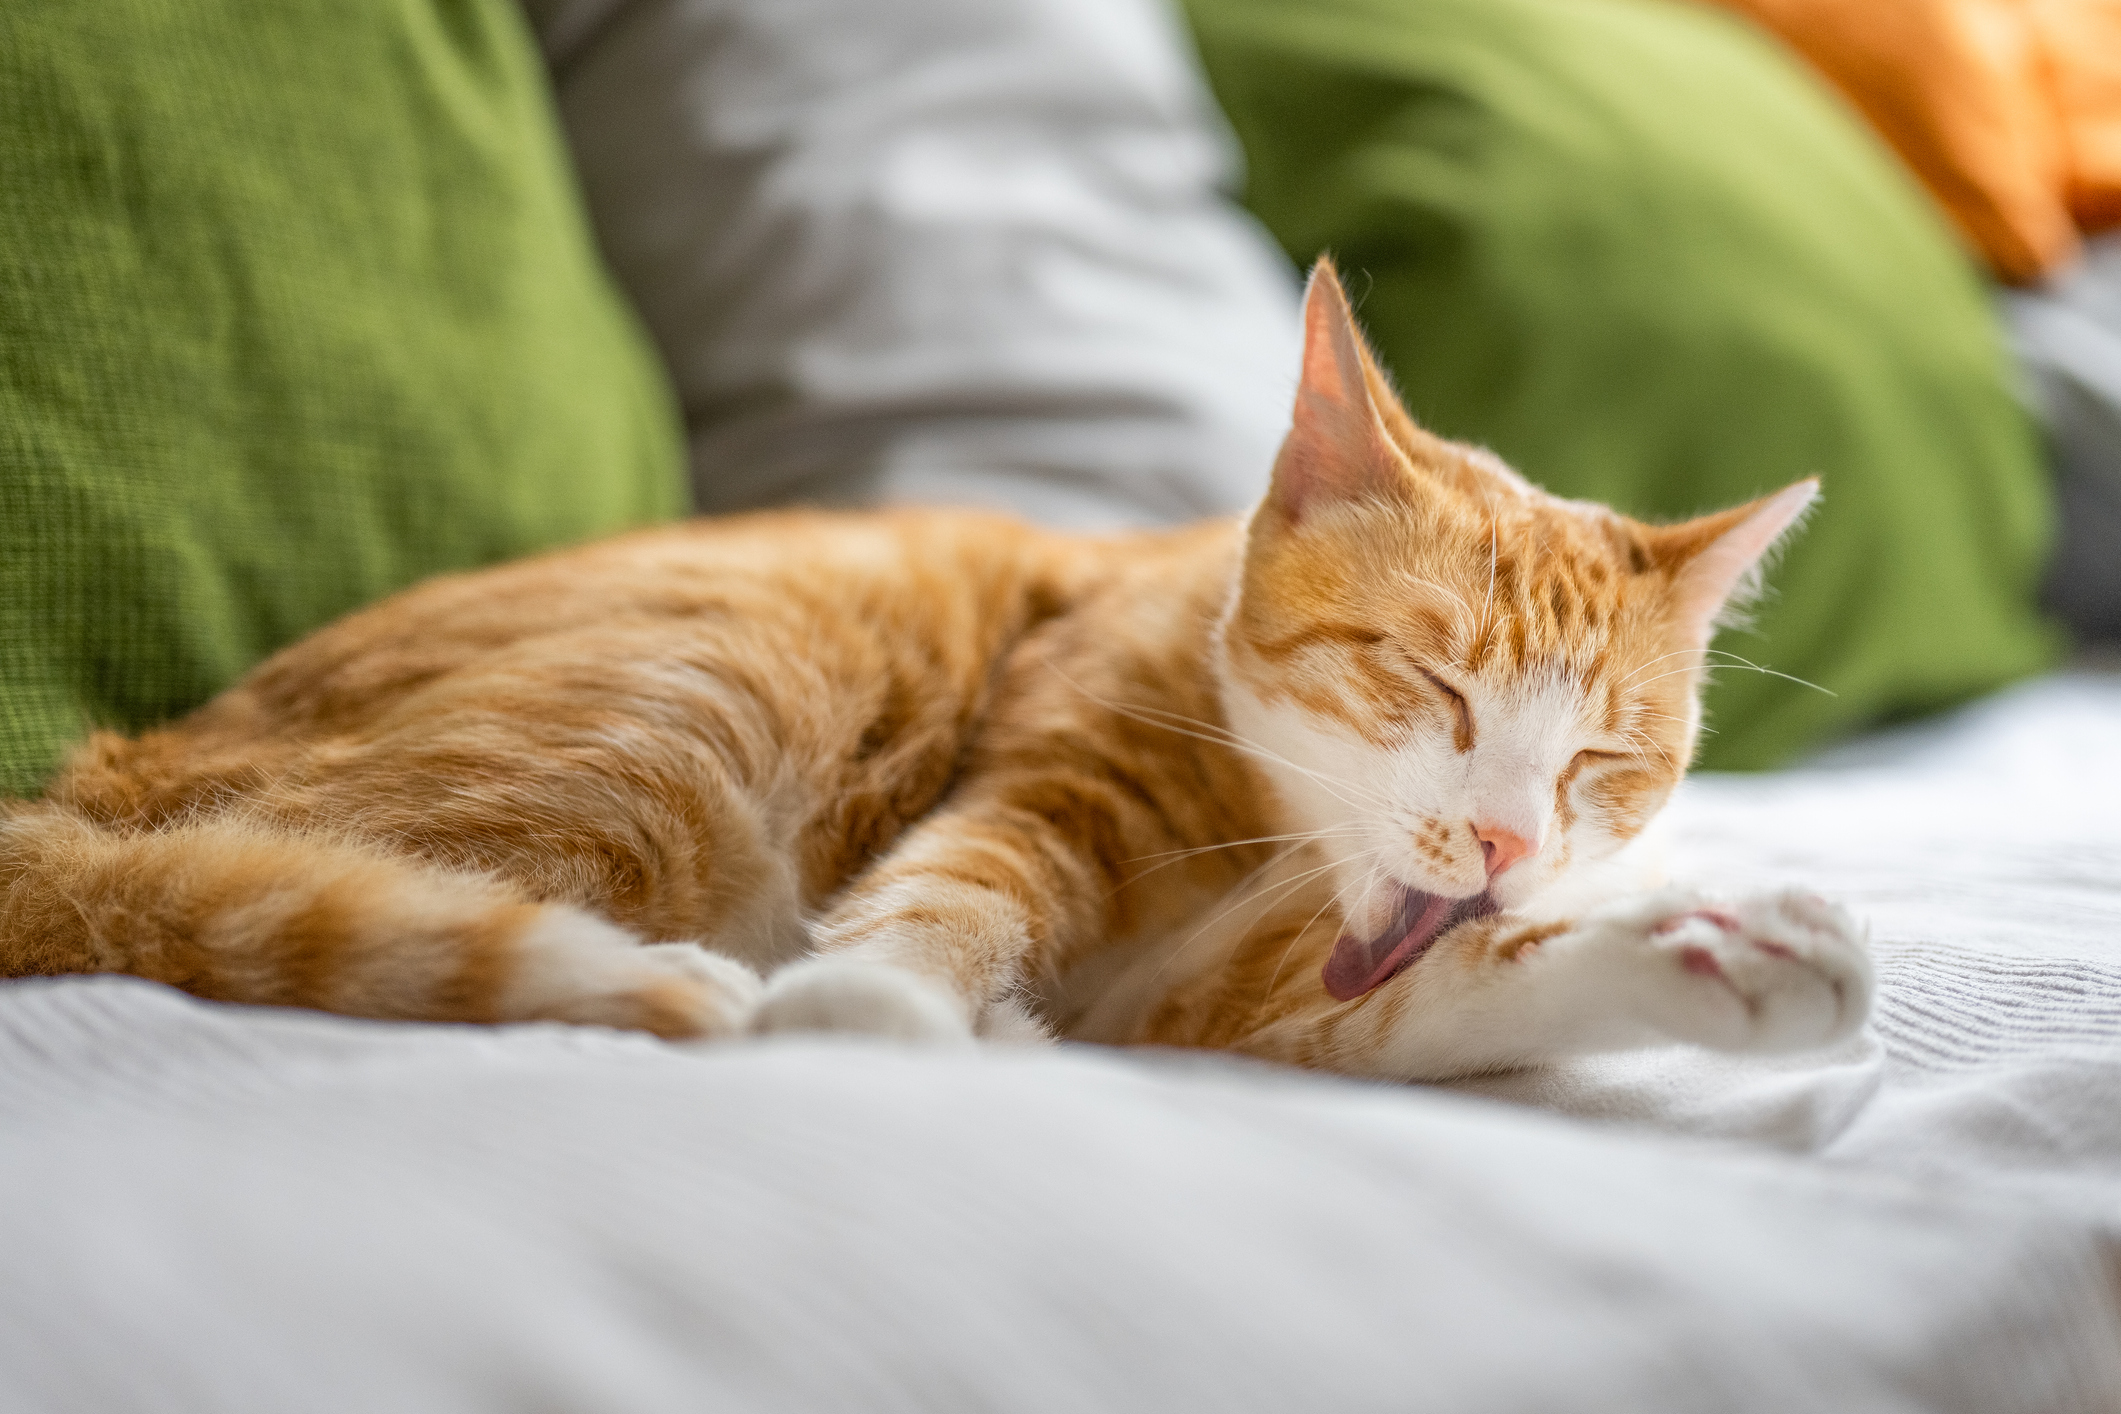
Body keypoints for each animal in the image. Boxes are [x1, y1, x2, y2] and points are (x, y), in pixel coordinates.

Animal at [0, 262, 1866, 1085]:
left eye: (1603, 764)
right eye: (1433, 683)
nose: (1502, 840)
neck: (1257, 825)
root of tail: (99, 772)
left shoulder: (1204, 993)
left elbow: (1427, 989)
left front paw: (1709, 945)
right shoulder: (1051, 775)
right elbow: (962, 881)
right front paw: (878, 1001)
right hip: (708, 703)